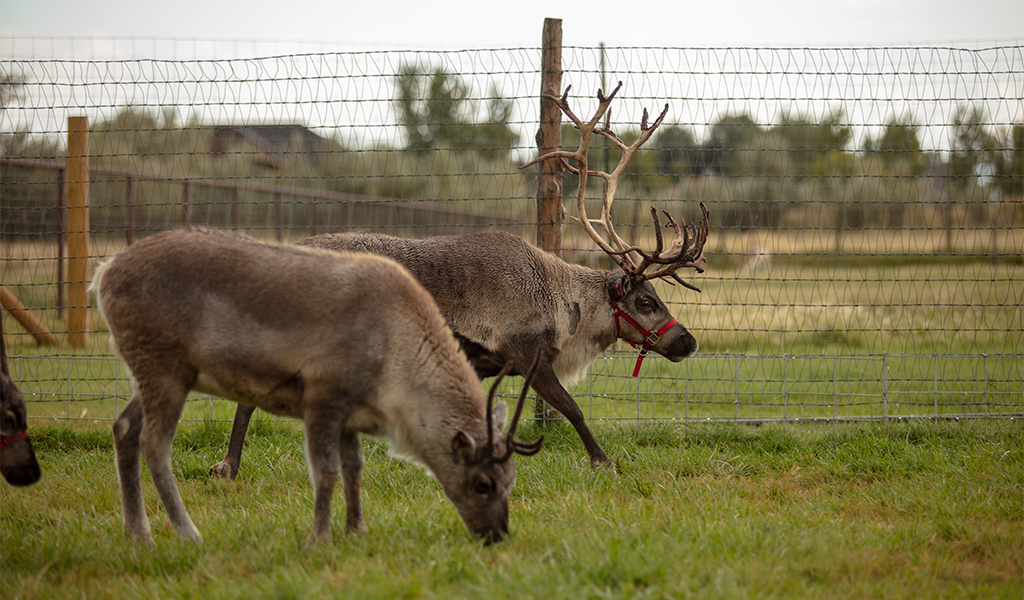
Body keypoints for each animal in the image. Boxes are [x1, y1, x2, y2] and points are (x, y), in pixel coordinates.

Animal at [91, 227, 542, 545]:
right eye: (482, 482)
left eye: (511, 479)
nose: (498, 535)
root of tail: (104, 272)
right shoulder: (323, 396)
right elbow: (325, 471)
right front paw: (319, 539)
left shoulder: (351, 412)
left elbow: (354, 468)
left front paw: (356, 530)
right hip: (165, 370)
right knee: (155, 444)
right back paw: (187, 532)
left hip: (154, 375)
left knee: (123, 428)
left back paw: (138, 533)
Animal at [209, 83, 709, 478]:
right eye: (645, 301)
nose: (688, 342)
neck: (564, 305)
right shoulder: (527, 354)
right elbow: (572, 408)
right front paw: (603, 462)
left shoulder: (489, 363)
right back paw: (228, 466)